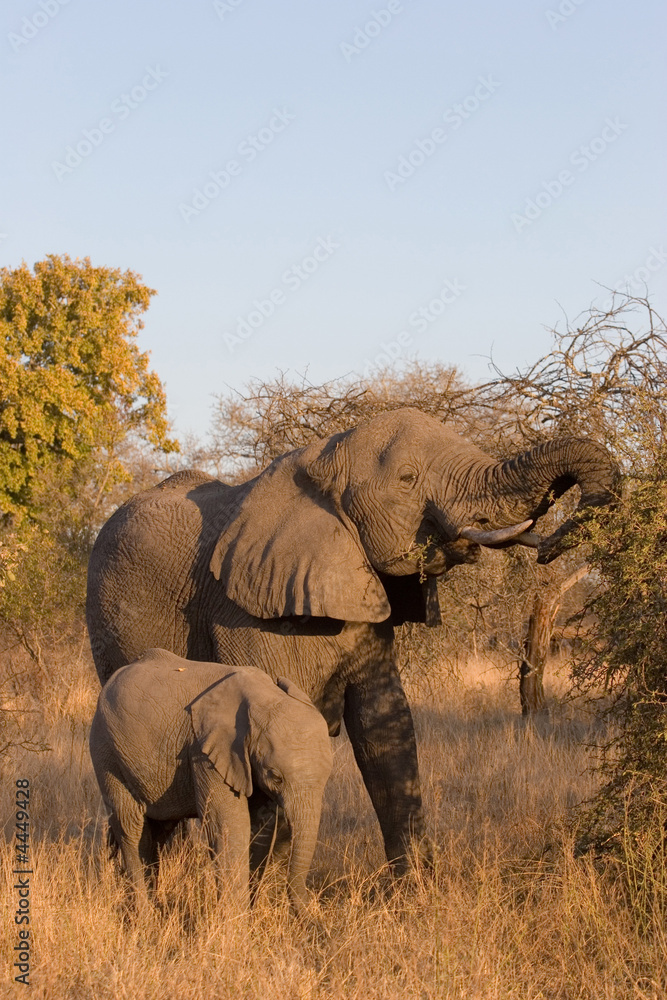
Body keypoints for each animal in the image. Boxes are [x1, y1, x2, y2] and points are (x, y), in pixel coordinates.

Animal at [86, 407, 617, 872]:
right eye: (407, 479)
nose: (550, 547)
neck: (323, 459)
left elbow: (386, 729)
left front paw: (417, 891)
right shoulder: (242, 612)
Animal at [89, 648, 333, 918]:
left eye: (327, 778)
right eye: (275, 776)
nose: (314, 916)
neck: (264, 697)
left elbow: (261, 828)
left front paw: (246, 915)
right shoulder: (205, 751)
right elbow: (229, 826)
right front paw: (235, 921)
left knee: (157, 830)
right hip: (106, 751)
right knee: (131, 827)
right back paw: (145, 917)